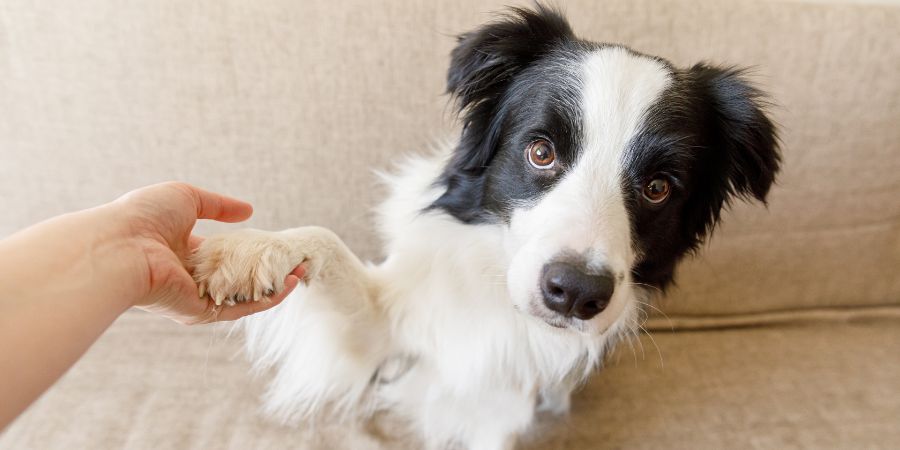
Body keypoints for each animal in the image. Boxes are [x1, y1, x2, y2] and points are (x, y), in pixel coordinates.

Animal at [192, 4, 780, 450]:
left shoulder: (500, 409)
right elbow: (324, 241)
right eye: (540, 151)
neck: (503, 303)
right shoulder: (389, 330)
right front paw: (244, 252)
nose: (576, 293)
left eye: (659, 187)